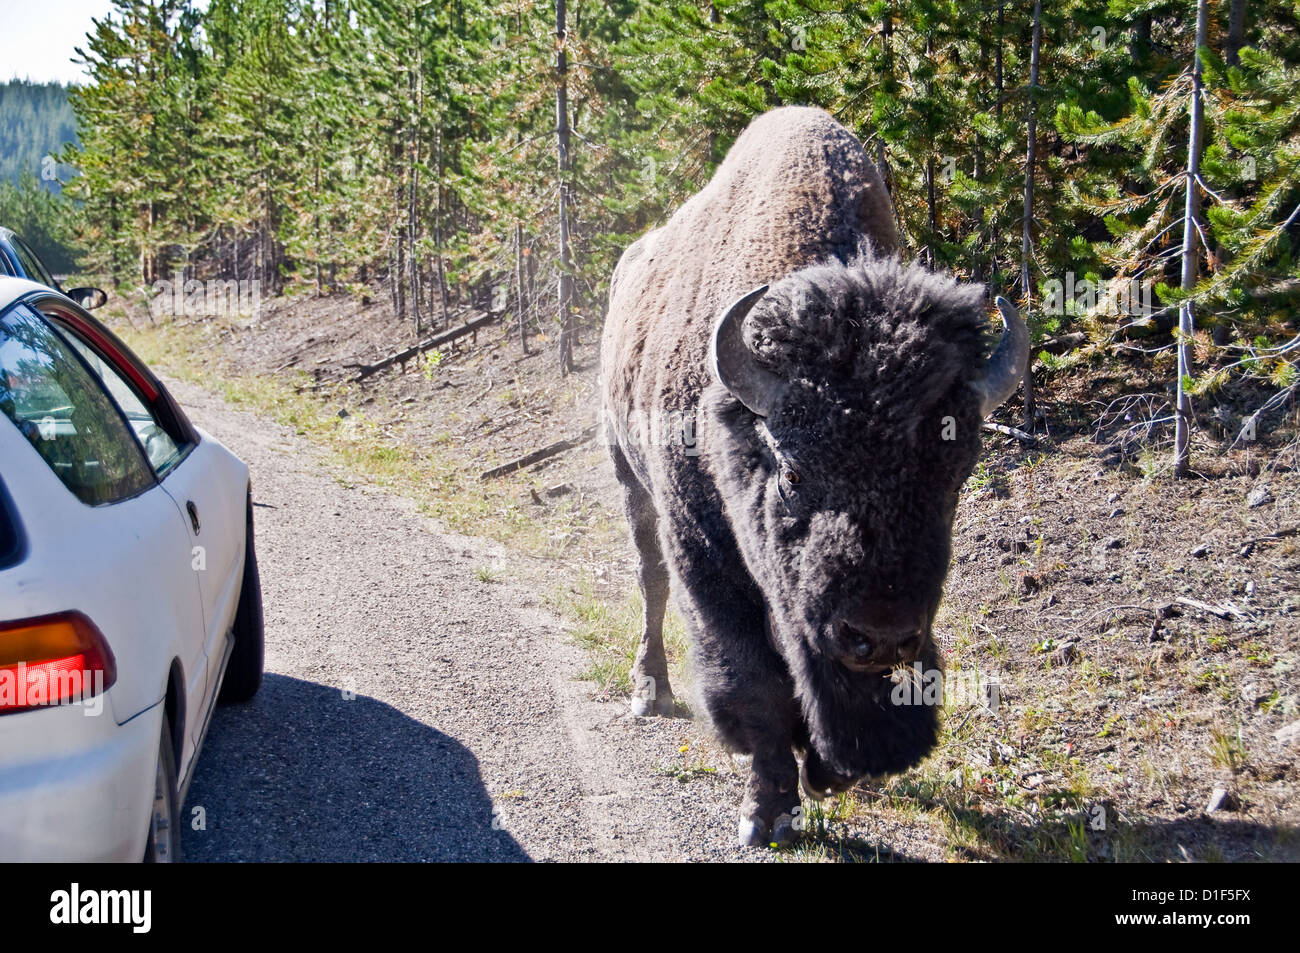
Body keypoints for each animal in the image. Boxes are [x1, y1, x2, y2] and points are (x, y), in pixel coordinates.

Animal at [598, 107, 1024, 842]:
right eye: (793, 472)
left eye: (953, 482)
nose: (879, 634)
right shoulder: (705, 551)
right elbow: (754, 679)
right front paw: (766, 811)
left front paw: (827, 771)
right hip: (629, 477)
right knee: (650, 579)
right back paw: (649, 691)